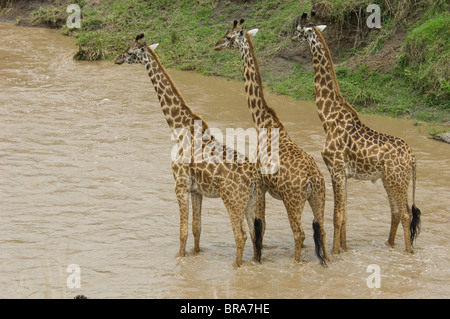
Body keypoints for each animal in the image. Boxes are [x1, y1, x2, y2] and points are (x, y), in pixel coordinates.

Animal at [115, 33, 268, 268]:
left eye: (130, 51)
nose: (117, 59)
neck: (179, 128)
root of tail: (254, 177)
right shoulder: (197, 190)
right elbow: (197, 229)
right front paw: (196, 255)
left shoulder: (180, 184)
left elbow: (182, 231)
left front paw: (179, 259)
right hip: (252, 201)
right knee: (255, 234)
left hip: (232, 199)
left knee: (240, 235)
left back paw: (236, 267)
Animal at [213, 18, 328, 266]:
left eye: (228, 36)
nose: (216, 45)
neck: (264, 122)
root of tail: (313, 179)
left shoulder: (262, 185)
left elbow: (261, 226)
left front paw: (258, 259)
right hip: (319, 198)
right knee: (322, 231)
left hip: (293, 201)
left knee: (300, 234)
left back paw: (296, 264)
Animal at [294, 12, 420, 255]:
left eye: (298, 29)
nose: (291, 37)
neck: (328, 117)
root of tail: (412, 157)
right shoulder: (344, 173)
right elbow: (345, 215)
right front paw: (344, 248)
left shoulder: (335, 168)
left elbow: (337, 215)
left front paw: (335, 253)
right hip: (390, 180)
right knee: (397, 212)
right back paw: (389, 245)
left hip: (397, 180)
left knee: (406, 213)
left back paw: (408, 252)